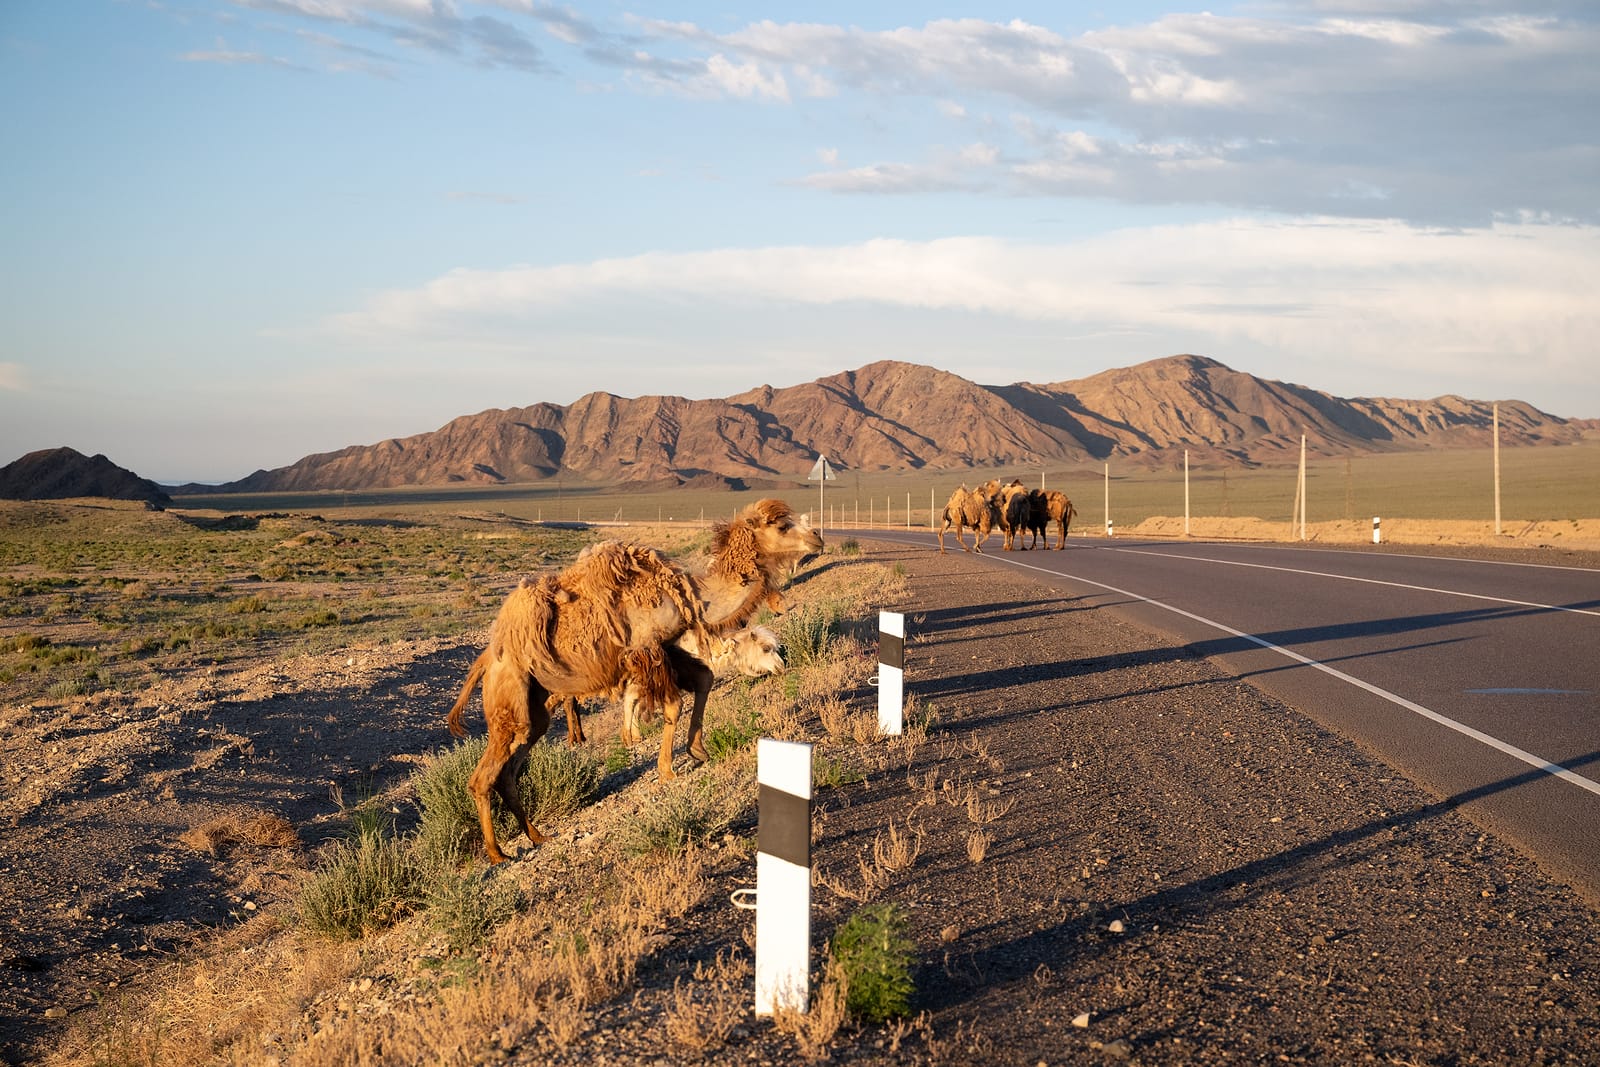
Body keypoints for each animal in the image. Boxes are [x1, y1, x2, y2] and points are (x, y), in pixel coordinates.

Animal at [446, 499, 823, 863]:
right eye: (782, 525)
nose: (817, 537)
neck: (690, 596)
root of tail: (487, 659)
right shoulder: (646, 649)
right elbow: (672, 704)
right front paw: (667, 769)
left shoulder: (666, 647)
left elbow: (704, 679)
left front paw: (697, 749)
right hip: (508, 699)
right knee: (482, 778)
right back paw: (497, 854)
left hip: (534, 708)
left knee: (510, 771)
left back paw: (538, 836)